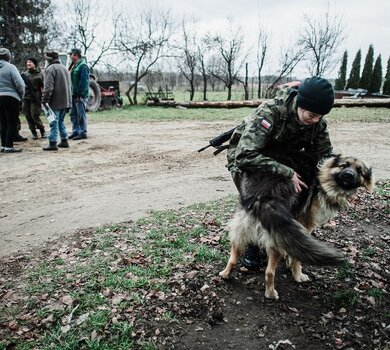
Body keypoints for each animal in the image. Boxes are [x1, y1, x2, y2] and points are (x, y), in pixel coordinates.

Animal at [219, 152, 374, 300]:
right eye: (344, 165)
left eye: (359, 171)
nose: (349, 175)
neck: (322, 177)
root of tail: (264, 194)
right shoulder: (305, 225)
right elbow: (296, 259)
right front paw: (297, 274)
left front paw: (289, 262)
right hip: (276, 239)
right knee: (269, 272)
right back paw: (271, 293)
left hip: (242, 227)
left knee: (233, 257)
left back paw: (225, 274)